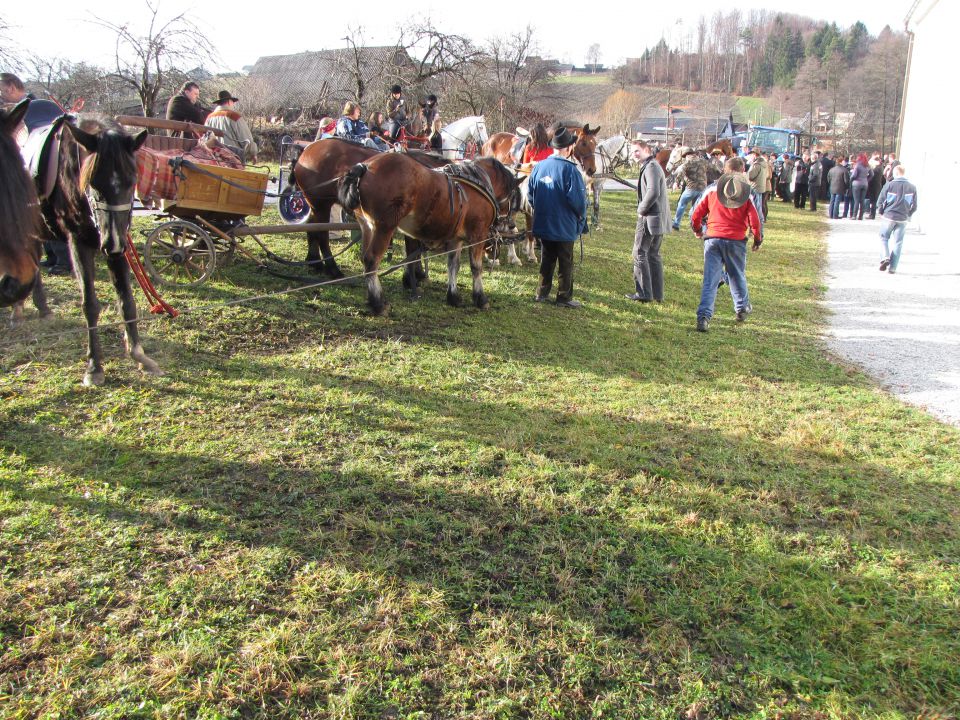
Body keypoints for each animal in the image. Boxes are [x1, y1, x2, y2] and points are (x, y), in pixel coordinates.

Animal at [292, 139, 450, 278]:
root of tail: (306, 150)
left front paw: (418, 273)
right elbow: (412, 247)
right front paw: (411, 277)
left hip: (315, 206)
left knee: (311, 229)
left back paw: (314, 262)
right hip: (321, 205)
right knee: (322, 235)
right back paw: (332, 269)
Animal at [338, 155, 516, 316]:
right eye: (513, 199)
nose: (511, 225)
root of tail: (365, 166)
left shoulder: (456, 238)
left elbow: (453, 265)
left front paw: (453, 297)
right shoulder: (477, 234)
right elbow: (476, 267)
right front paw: (480, 298)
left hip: (367, 226)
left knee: (364, 259)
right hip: (384, 227)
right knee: (371, 260)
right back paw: (378, 304)